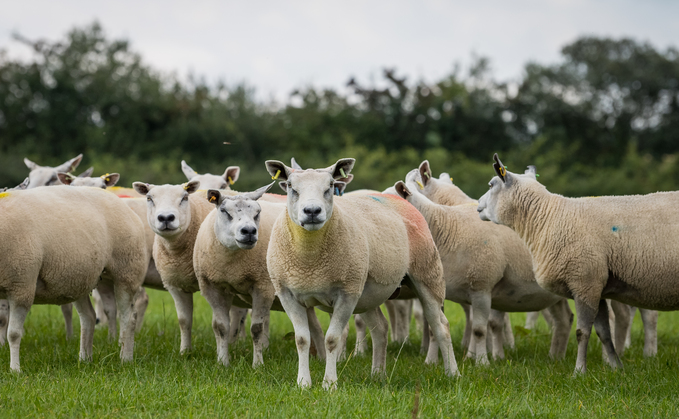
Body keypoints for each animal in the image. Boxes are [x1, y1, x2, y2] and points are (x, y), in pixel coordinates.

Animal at [0, 185, 147, 372]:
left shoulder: (21, 286)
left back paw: (125, 358)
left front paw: (15, 370)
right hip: (79, 278)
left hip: (127, 272)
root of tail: (125, 206)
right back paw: (85, 359)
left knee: (129, 318)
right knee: (89, 317)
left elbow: (13, 333)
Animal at [194, 184, 330, 368]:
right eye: (224, 211)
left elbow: (256, 329)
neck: (232, 265)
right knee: (315, 327)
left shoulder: (263, 286)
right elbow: (220, 327)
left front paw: (257, 365)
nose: (249, 231)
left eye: (257, 212)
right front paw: (223, 362)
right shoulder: (211, 287)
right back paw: (322, 359)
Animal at [264, 159, 456, 388]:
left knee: (441, 325)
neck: (309, 262)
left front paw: (329, 384)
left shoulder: (347, 294)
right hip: (367, 293)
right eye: (291, 187)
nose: (312, 211)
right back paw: (378, 374)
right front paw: (303, 383)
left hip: (427, 274)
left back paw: (452, 373)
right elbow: (302, 340)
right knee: (381, 327)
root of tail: (396, 198)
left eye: (330, 185)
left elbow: (332, 340)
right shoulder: (287, 294)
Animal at [394, 172, 572, 366]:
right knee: (564, 320)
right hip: (555, 294)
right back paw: (556, 358)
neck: (448, 228)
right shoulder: (437, 290)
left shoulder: (482, 287)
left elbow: (479, 329)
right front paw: (431, 362)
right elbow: (435, 328)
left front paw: (482, 362)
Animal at [478, 153, 679, 374]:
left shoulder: (584, 281)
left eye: (491, 184)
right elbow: (603, 332)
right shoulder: (598, 286)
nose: (477, 205)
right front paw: (616, 367)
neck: (546, 218)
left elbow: (583, 332)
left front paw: (579, 371)